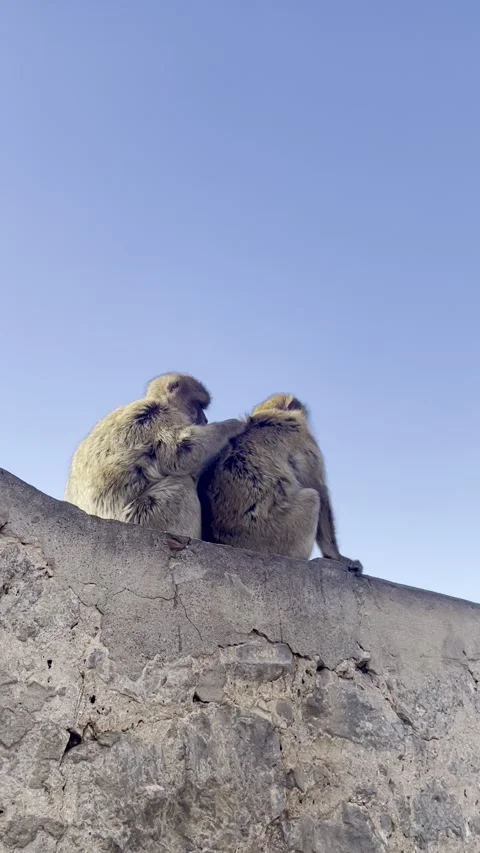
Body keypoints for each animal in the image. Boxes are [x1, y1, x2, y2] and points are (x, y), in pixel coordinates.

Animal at [64, 373, 245, 539]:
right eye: (198, 404)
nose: (205, 419)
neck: (160, 402)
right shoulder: (159, 415)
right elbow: (180, 454)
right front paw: (232, 426)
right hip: (143, 517)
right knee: (181, 483)